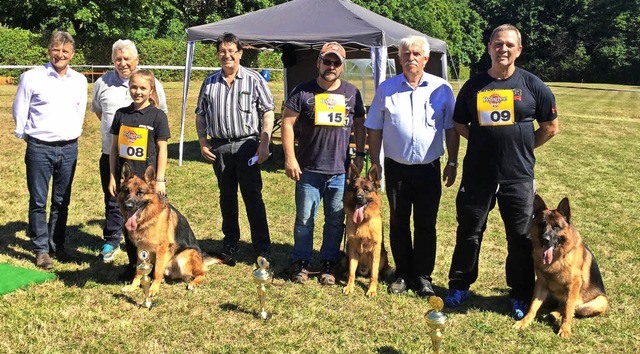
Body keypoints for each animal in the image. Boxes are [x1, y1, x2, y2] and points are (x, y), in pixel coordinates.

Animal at [118, 163, 222, 296]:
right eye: (126, 191)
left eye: (140, 192)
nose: (128, 206)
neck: (149, 218)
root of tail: (202, 257)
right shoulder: (141, 249)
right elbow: (139, 271)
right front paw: (133, 286)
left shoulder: (161, 248)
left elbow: (157, 271)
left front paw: (153, 289)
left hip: (185, 255)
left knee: (202, 273)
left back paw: (193, 283)